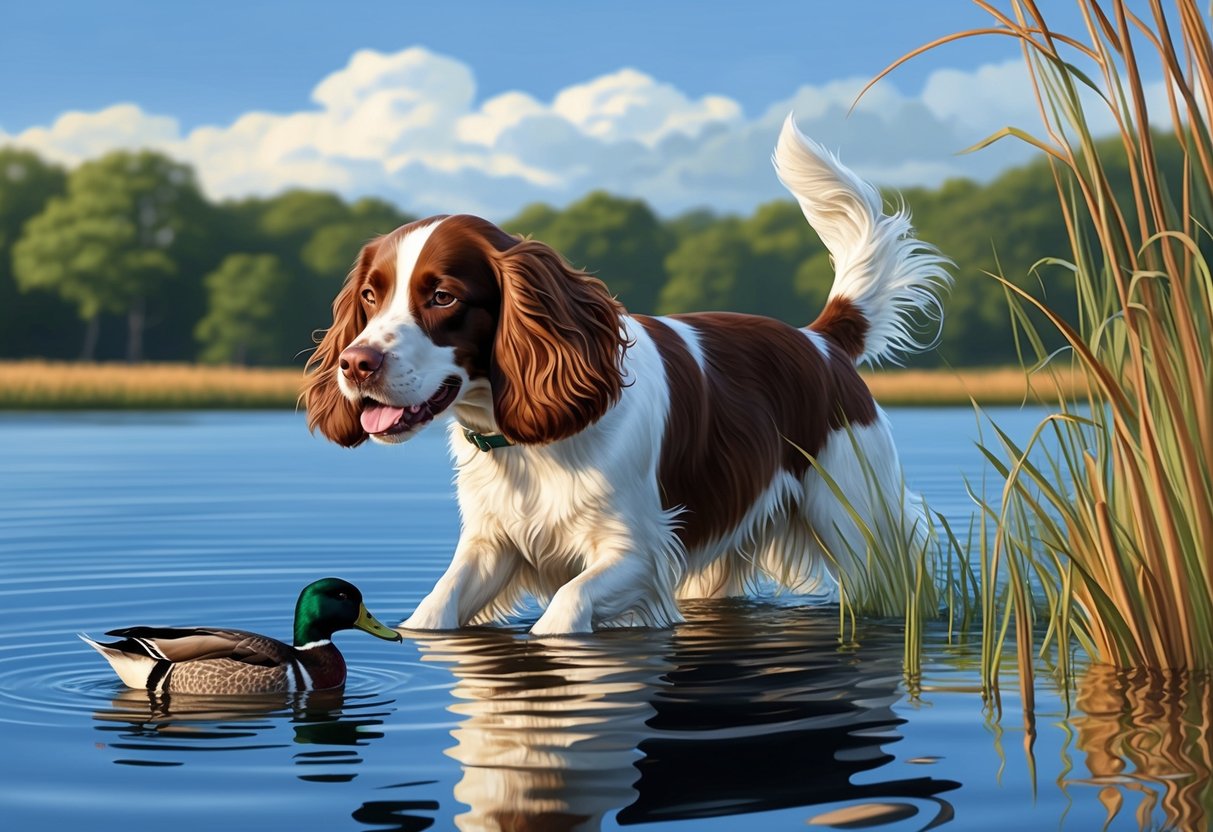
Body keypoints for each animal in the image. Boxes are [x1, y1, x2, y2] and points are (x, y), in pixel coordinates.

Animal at [303, 114, 946, 635]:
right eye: (369, 295)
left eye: (442, 296)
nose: (355, 363)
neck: (529, 447)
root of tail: (823, 340)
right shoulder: (492, 546)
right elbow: (433, 610)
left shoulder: (637, 552)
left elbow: (563, 611)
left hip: (860, 528)